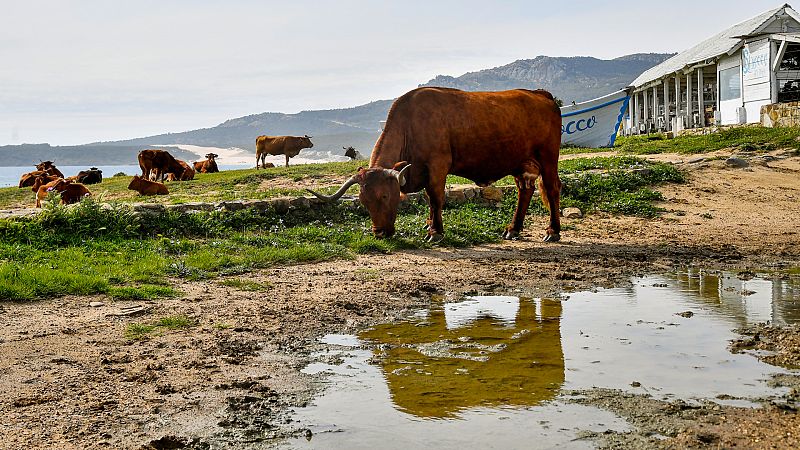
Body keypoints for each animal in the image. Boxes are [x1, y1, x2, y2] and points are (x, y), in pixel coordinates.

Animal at [308, 87, 564, 243]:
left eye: (385, 196)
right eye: (363, 200)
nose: (379, 233)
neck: (411, 125)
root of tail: (541, 95)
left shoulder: (437, 167)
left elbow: (435, 198)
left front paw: (436, 231)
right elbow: (429, 200)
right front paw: (429, 225)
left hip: (548, 158)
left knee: (552, 189)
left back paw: (553, 231)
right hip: (522, 164)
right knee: (525, 191)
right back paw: (513, 228)